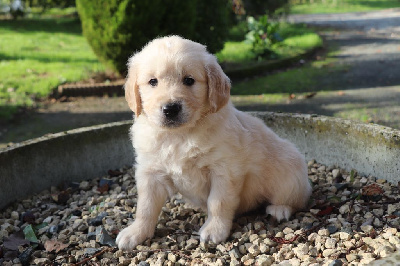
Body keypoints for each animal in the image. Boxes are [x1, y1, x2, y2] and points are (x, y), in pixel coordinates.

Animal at [116, 35, 312, 251]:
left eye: (189, 80)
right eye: (152, 81)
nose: (170, 109)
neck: (179, 135)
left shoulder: (224, 170)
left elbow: (218, 202)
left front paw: (214, 230)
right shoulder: (150, 172)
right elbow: (145, 206)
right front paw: (136, 232)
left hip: (290, 174)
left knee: (295, 198)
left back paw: (280, 209)